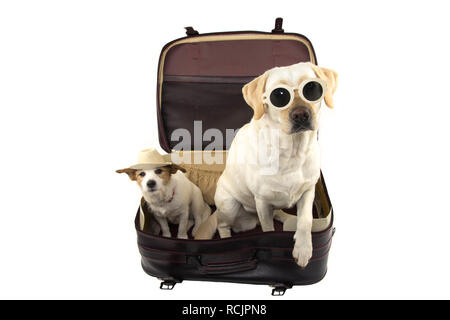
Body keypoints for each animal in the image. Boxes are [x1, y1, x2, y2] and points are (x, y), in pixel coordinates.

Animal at [195, 60, 336, 268]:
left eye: (311, 88)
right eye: (279, 95)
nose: (301, 114)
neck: (292, 151)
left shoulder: (308, 191)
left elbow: (305, 221)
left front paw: (303, 248)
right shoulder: (262, 201)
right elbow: (268, 229)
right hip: (229, 205)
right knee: (223, 225)